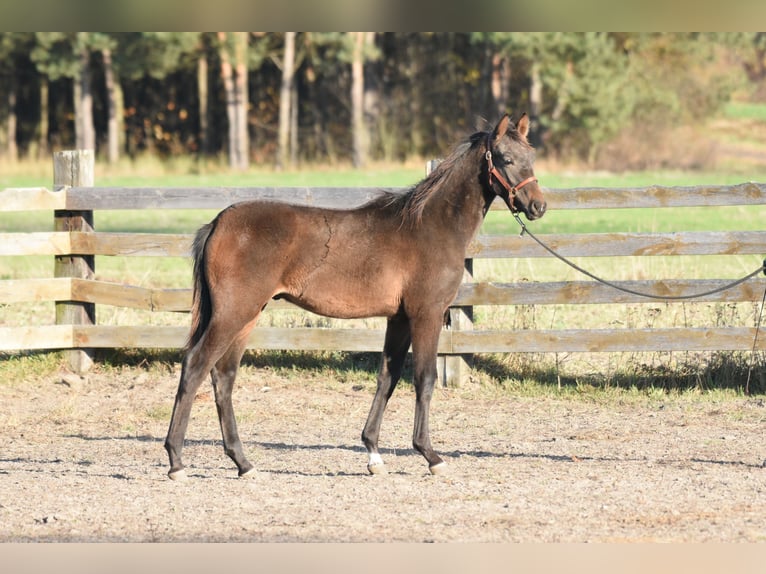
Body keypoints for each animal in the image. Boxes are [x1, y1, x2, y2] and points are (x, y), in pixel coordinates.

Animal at [164, 113, 544, 482]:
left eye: (531, 156)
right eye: (506, 158)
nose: (538, 206)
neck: (430, 226)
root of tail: (217, 223)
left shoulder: (399, 318)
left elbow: (387, 377)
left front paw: (374, 455)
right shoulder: (427, 314)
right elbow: (424, 379)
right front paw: (431, 456)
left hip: (248, 315)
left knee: (223, 376)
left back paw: (243, 463)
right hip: (233, 313)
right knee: (196, 366)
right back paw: (177, 462)